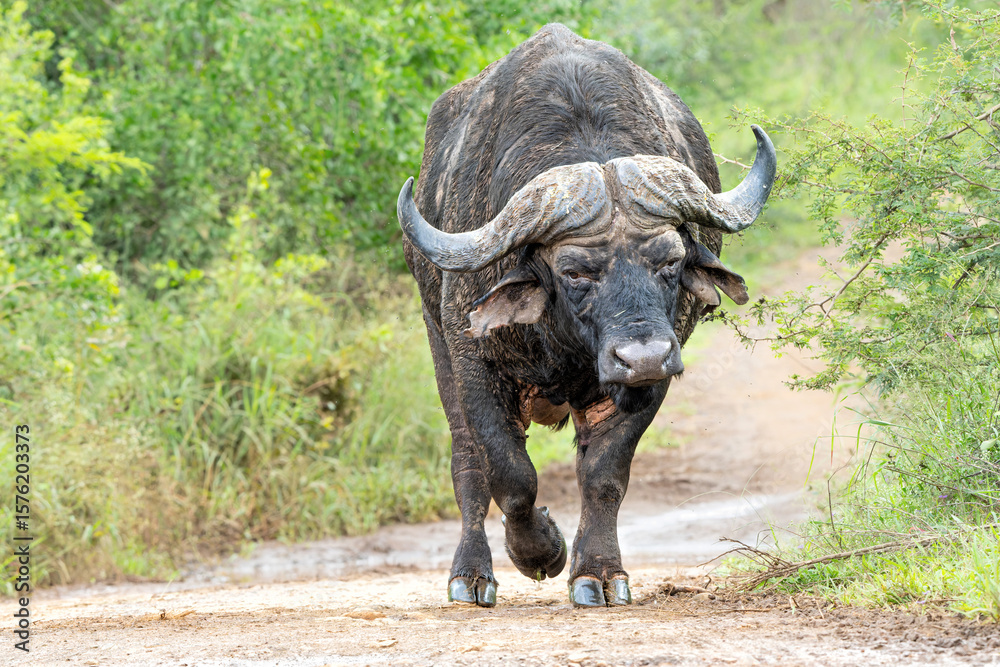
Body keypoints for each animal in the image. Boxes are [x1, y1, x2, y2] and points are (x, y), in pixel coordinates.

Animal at [397, 23, 775, 608]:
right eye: (575, 271)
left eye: (669, 261)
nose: (642, 356)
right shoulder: (472, 359)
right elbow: (510, 475)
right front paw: (541, 552)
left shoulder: (653, 374)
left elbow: (603, 473)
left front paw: (596, 572)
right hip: (437, 340)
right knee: (468, 463)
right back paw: (470, 575)